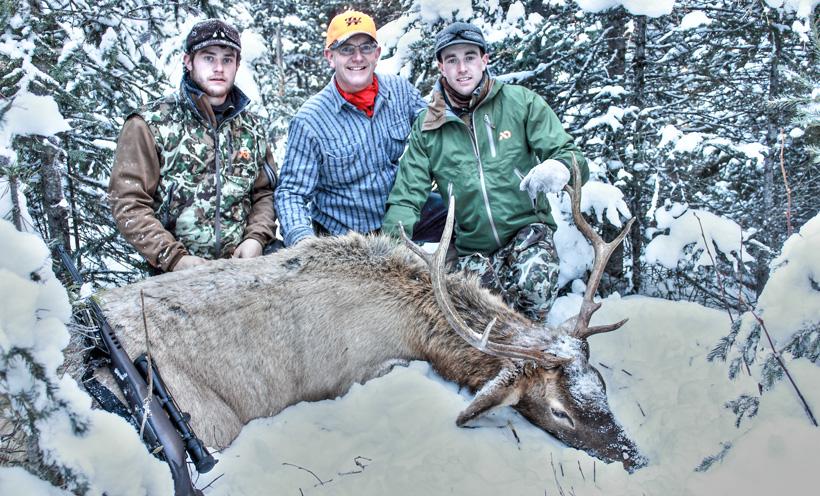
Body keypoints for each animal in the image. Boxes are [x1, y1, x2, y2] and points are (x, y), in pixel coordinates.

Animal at [95, 164, 646, 472]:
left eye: (601, 387)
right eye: (559, 411)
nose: (636, 458)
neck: (411, 320)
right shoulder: (361, 371)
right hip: (207, 419)